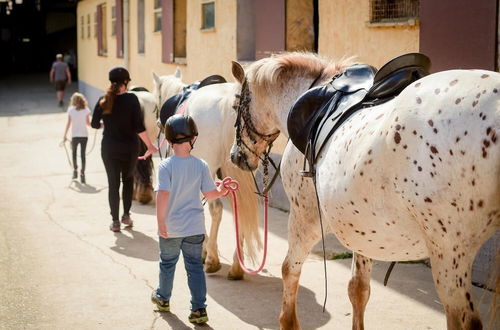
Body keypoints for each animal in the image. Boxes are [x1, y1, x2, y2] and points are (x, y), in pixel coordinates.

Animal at [229, 52, 498, 328]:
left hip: (449, 252)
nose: (235, 156)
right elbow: (358, 289)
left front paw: (288, 320)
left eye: (236, 106)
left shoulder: (305, 217)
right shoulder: (360, 228)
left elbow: (289, 270)